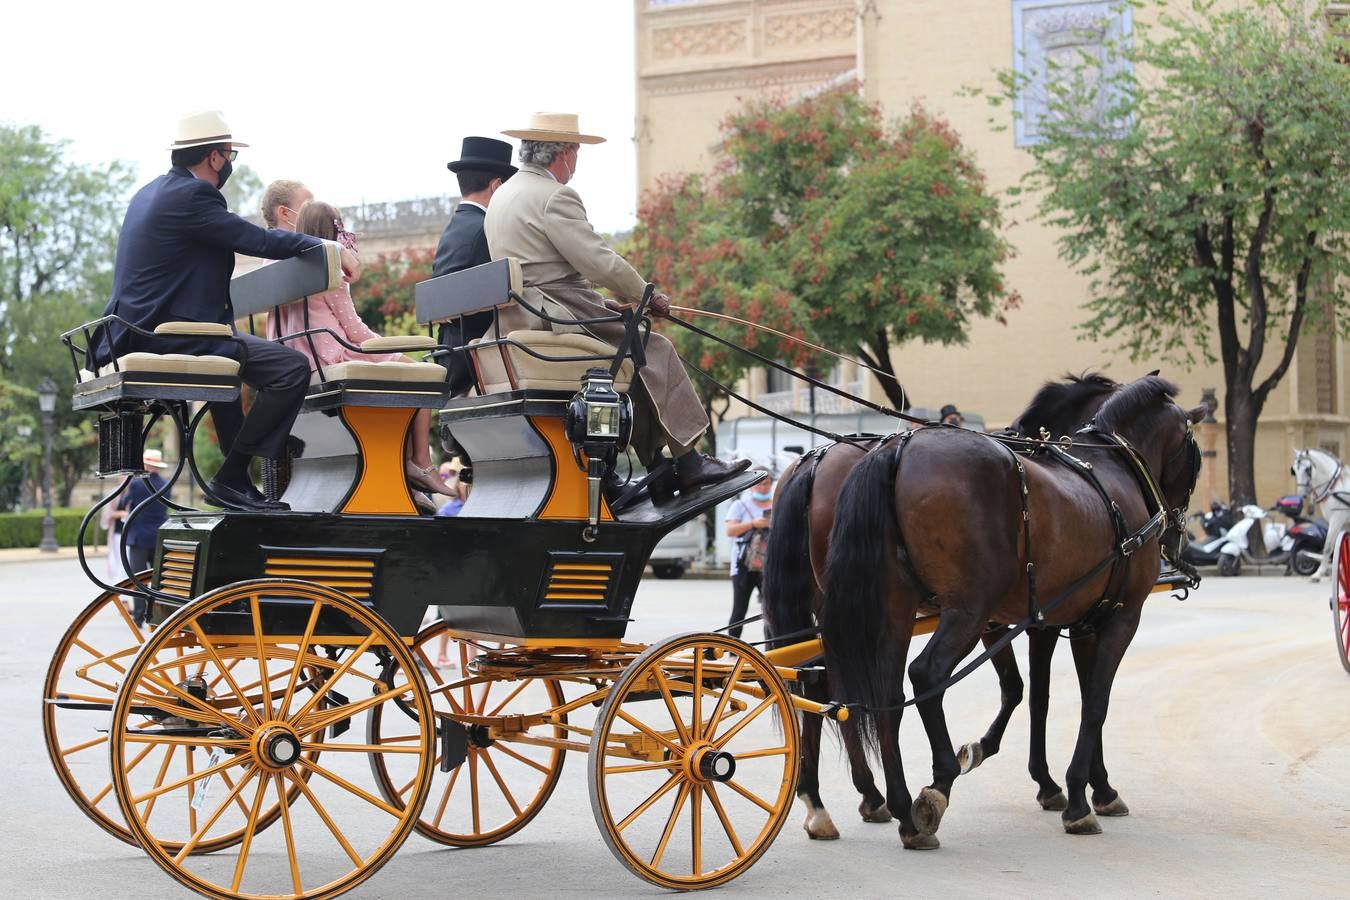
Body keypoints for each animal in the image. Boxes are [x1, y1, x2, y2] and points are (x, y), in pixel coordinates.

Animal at [766, 372, 1123, 836]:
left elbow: (1024, 687)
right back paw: (864, 797)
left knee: (819, 682)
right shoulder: (1028, 618)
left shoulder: (1001, 617)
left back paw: (831, 799)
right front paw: (1057, 782)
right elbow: (1038, 692)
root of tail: (815, 460)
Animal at [815, 375, 1209, 852]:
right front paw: (1078, 798)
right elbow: (1094, 701)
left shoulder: (1077, 623)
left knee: (885, 696)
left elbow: (1058, 695)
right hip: (966, 609)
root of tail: (899, 448)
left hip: (894, 610)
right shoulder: (1119, 619)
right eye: (1195, 455)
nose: (1176, 532)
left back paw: (902, 807)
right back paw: (937, 784)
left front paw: (1094, 787)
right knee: (926, 675)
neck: (1109, 468)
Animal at [1290, 447, 1350, 585]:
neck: (1335, 487)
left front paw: (1318, 574)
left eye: (1308, 469)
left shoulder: (1337, 520)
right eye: (1294, 470)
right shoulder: (1343, 523)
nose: (1301, 495)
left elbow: (1327, 547)